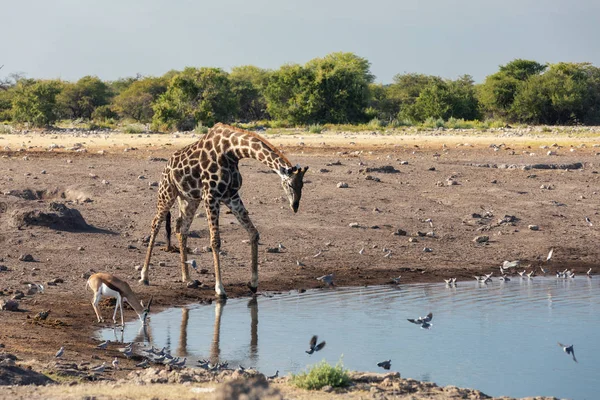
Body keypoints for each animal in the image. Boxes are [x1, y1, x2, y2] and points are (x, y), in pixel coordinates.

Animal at [141, 123, 310, 298]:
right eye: (289, 184)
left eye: (302, 185)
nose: (295, 206)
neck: (232, 152)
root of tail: (167, 165)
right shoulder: (211, 196)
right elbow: (215, 241)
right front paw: (219, 289)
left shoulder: (231, 196)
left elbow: (253, 233)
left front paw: (253, 284)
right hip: (167, 192)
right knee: (156, 224)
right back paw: (144, 276)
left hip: (190, 199)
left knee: (182, 228)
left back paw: (187, 277)